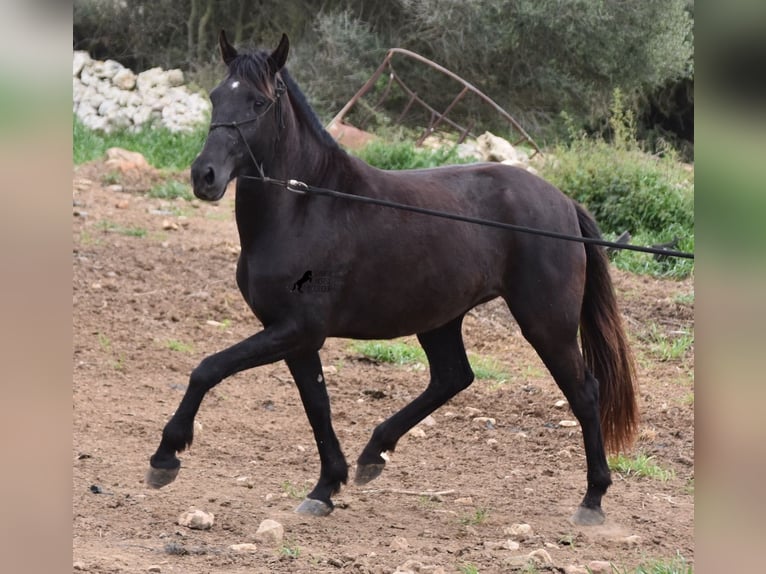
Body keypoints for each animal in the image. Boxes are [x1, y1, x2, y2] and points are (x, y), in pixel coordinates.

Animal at [147, 31, 640, 528]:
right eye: (216, 96)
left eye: (259, 102)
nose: (204, 176)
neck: (304, 207)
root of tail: (563, 203)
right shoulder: (295, 336)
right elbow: (317, 406)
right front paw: (326, 488)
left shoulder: (296, 330)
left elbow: (208, 369)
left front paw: (166, 456)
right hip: (440, 319)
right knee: (452, 377)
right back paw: (374, 454)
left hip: (546, 324)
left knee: (584, 393)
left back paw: (592, 499)